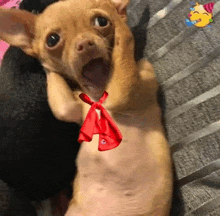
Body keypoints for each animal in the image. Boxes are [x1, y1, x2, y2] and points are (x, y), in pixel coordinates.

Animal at [0, 0, 173, 214]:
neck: (98, 94)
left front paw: (121, 26)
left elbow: (124, 51)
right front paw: (45, 63)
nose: (85, 44)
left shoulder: (125, 89)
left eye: (102, 22)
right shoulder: (69, 108)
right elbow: (60, 99)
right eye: (52, 40)